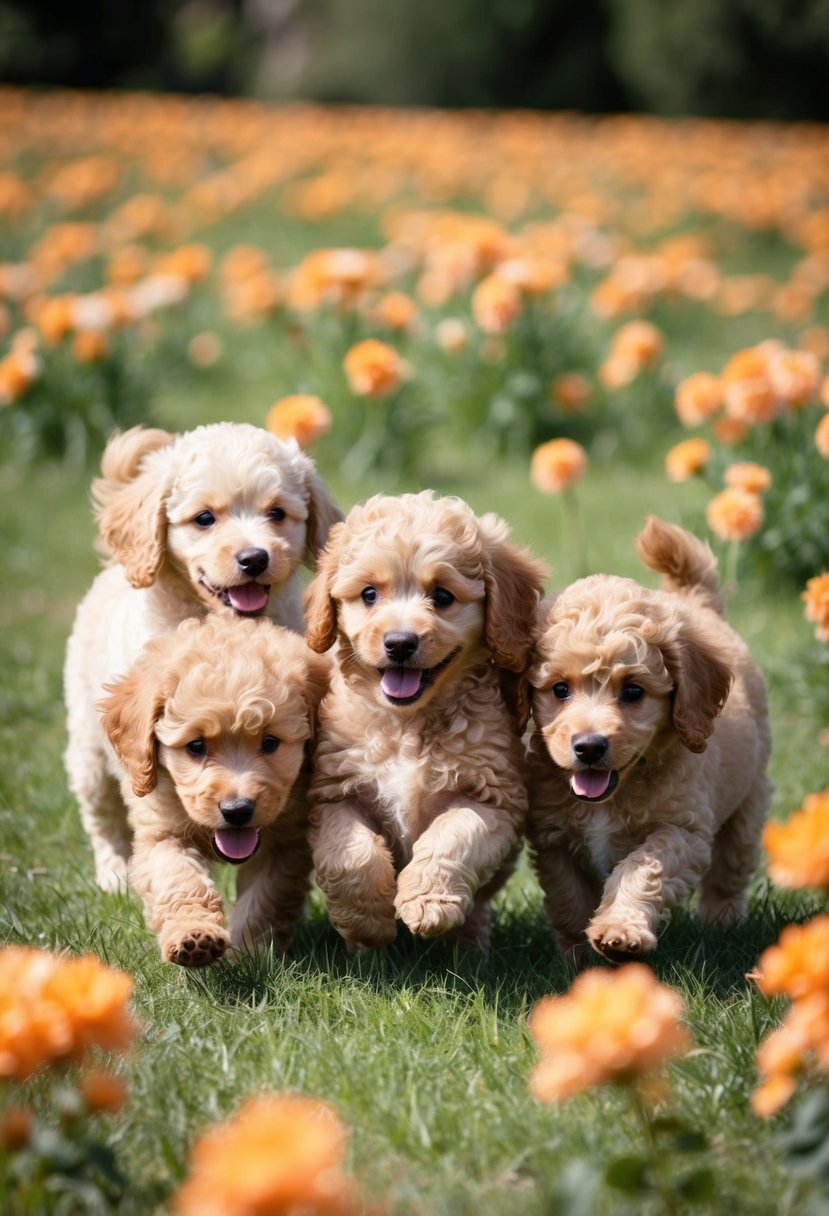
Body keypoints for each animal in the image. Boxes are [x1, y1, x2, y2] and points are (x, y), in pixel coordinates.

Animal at [63, 423, 342, 890]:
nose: (254, 558)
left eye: (277, 514)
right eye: (205, 519)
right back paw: (114, 874)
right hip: (89, 747)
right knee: (102, 818)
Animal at [98, 617, 328, 967]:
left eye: (270, 742)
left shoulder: (285, 848)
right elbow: (179, 881)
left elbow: (265, 900)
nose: (237, 810)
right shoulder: (162, 833)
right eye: (196, 746)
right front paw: (193, 936)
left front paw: (247, 956)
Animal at [303, 488, 549, 953]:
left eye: (443, 596)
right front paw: (367, 923)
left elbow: (451, 837)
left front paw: (427, 903)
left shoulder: (492, 797)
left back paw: (470, 948)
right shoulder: (334, 793)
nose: (400, 643)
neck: (408, 724)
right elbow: (354, 854)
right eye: (369, 594)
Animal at [525, 510, 773, 958]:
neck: (611, 797)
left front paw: (619, 932)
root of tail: (697, 602)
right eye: (560, 689)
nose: (589, 747)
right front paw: (575, 956)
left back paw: (722, 921)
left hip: (750, 796)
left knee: (730, 868)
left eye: (633, 692)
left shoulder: (683, 830)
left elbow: (642, 868)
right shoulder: (553, 840)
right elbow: (568, 899)